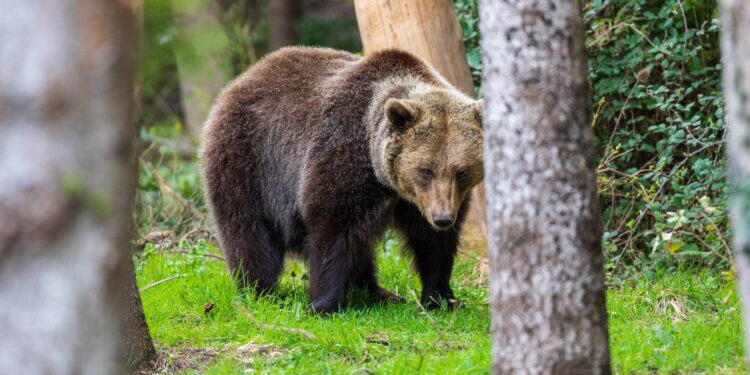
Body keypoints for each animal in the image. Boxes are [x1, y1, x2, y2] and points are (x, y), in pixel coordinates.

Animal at [203, 46, 484, 314]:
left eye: (461, 172)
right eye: (425, 170)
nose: (443, 217)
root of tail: (240, 80)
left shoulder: (424, 202)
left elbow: (433, 244)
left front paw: (441, 298)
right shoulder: (342, 157)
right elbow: (334, 232)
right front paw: (324, 304)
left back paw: (379, 293)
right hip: (249, 162)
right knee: (249, 232)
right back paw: (260, 291)